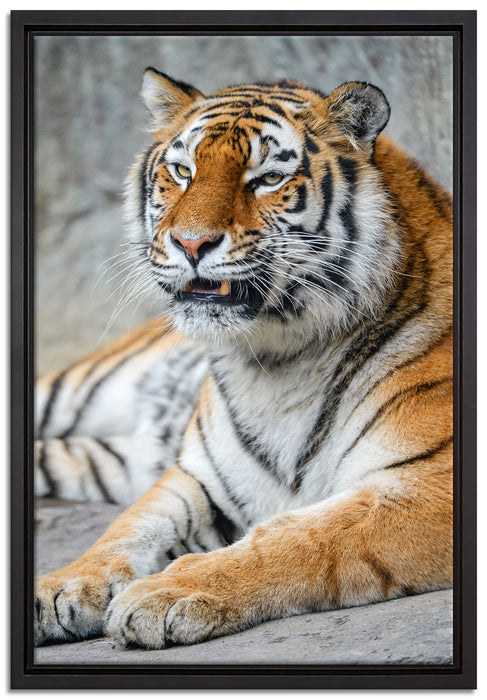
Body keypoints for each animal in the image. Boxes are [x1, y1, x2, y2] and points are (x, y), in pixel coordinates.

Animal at [34, 69, 453, 650]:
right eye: (182, 171)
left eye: (267, 178)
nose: (191, 243)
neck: (280, 359)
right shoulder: (197, 477)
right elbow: (128, 527)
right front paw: (65, 583)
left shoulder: (432, 486)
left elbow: (302, 536)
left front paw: (164, 593)